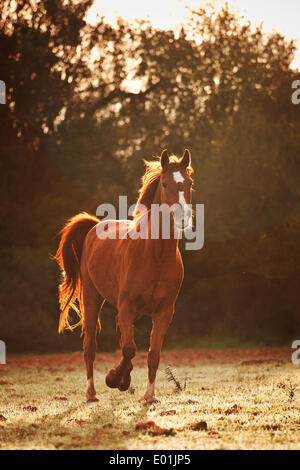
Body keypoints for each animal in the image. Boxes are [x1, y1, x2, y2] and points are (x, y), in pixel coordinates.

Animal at [54, 149, 193, 402]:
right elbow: (130, 349)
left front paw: (148, 396)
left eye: (189, 183)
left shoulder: (163, 314)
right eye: (165, 183)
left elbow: (152, 354)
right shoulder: (127, 306)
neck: (155, 256)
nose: (182, 217)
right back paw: (92, 393)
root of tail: (94, 227)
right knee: (90, 346)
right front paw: (112, 378)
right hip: (92, 297)